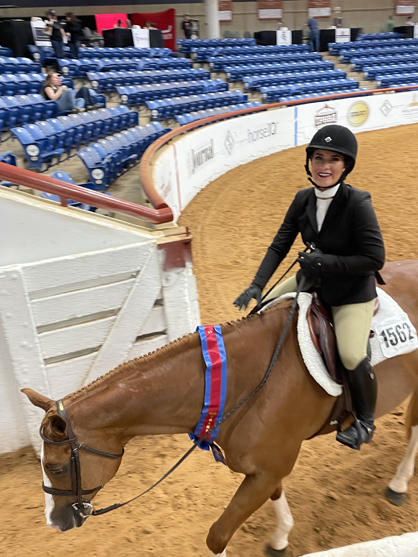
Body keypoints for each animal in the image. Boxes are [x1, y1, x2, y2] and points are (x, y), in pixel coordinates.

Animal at [23, 260, 418, 556]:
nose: (53, 520)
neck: (237, 382)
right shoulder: (265, 470)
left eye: (56, 468)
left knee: (413, 427)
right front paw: (281, 537)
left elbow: (217, 536)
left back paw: (398, 483)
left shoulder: (269, 468)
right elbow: (275, 496)